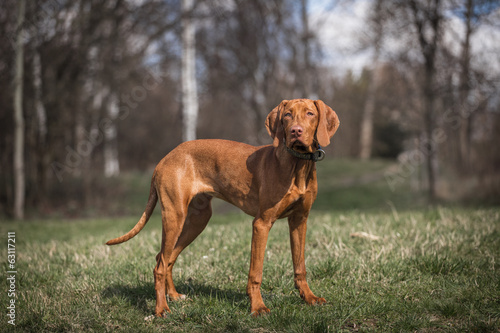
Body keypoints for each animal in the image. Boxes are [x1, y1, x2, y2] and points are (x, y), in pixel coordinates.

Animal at [105, 97, 340, 316]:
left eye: (310, 113)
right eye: (287, 115)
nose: (295, 131)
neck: (296, 165)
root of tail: (164, 159)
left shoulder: (300, 220)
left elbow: (300, 266)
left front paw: (309, 298)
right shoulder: (262, 223)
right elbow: (256, 272)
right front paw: (257, 307)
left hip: (198, 219)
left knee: (166, 257)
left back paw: (173, 295)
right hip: (174, 216)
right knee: (160, 264)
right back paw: (161, 308)